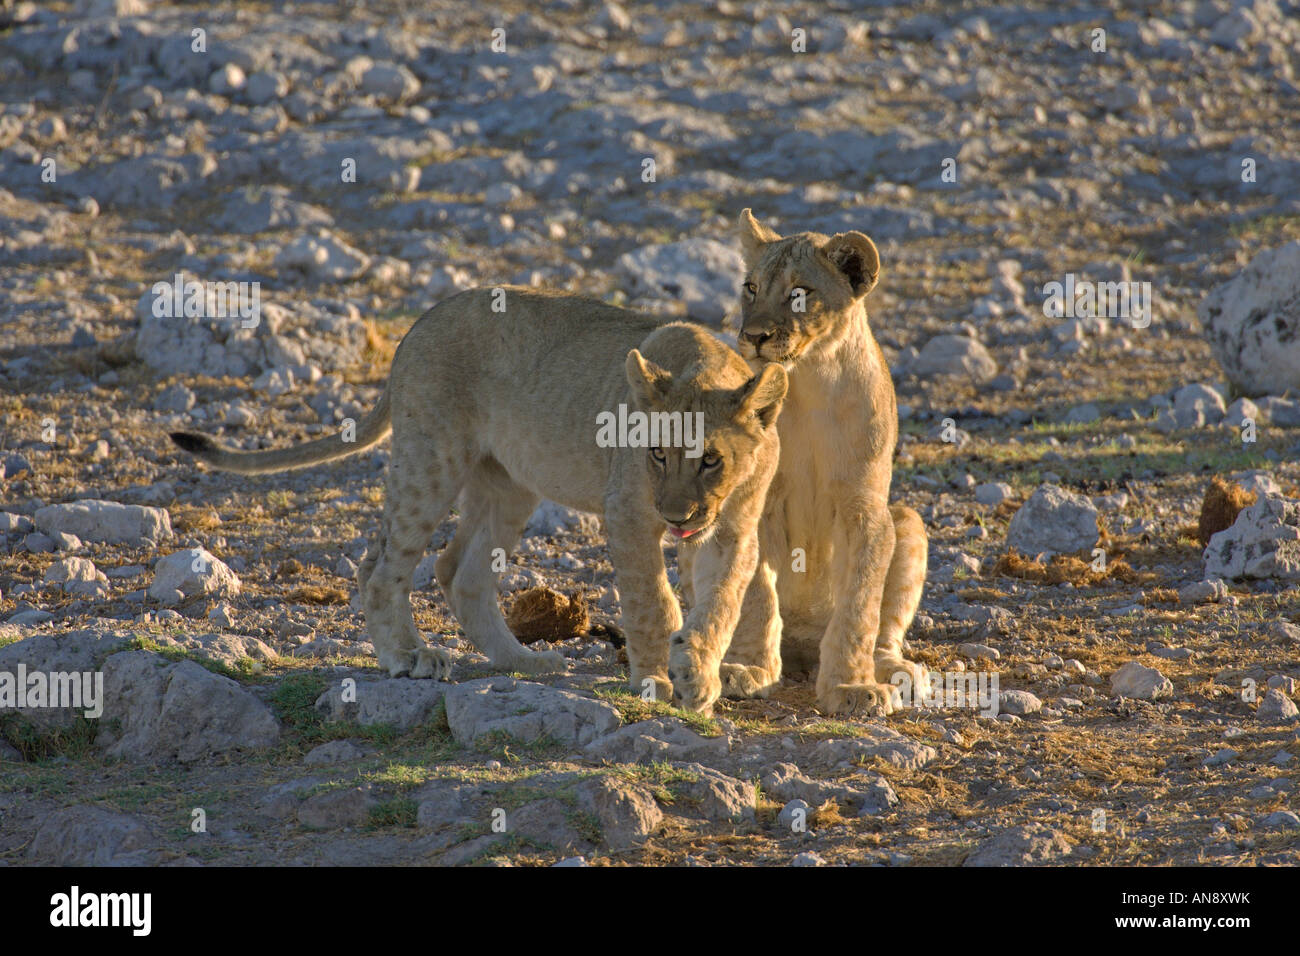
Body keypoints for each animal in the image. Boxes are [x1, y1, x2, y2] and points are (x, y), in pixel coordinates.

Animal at [170, 287, 786, 708]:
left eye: (710, 459)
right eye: (658, 454)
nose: (676, 516)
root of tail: (418, 324)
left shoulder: (734, 528)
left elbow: (723, 602)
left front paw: (698, 675)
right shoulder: (630, 513)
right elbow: (654, 601)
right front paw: (656, 680)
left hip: (509, 484)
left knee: (458, 571)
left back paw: (523, 662)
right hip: (431, 461)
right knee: (381, 565)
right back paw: (408, 657)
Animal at [680, 210, 930, 717]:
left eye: (800, 292)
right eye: (750, 287)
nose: (754, 336)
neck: (811, 379)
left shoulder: (865, 507)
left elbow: (860, 604)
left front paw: (852, 686)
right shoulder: (754, 502)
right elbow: (756, 594)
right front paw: (747, 667)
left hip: (907, 521)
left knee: (884, 629)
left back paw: (896, 670)